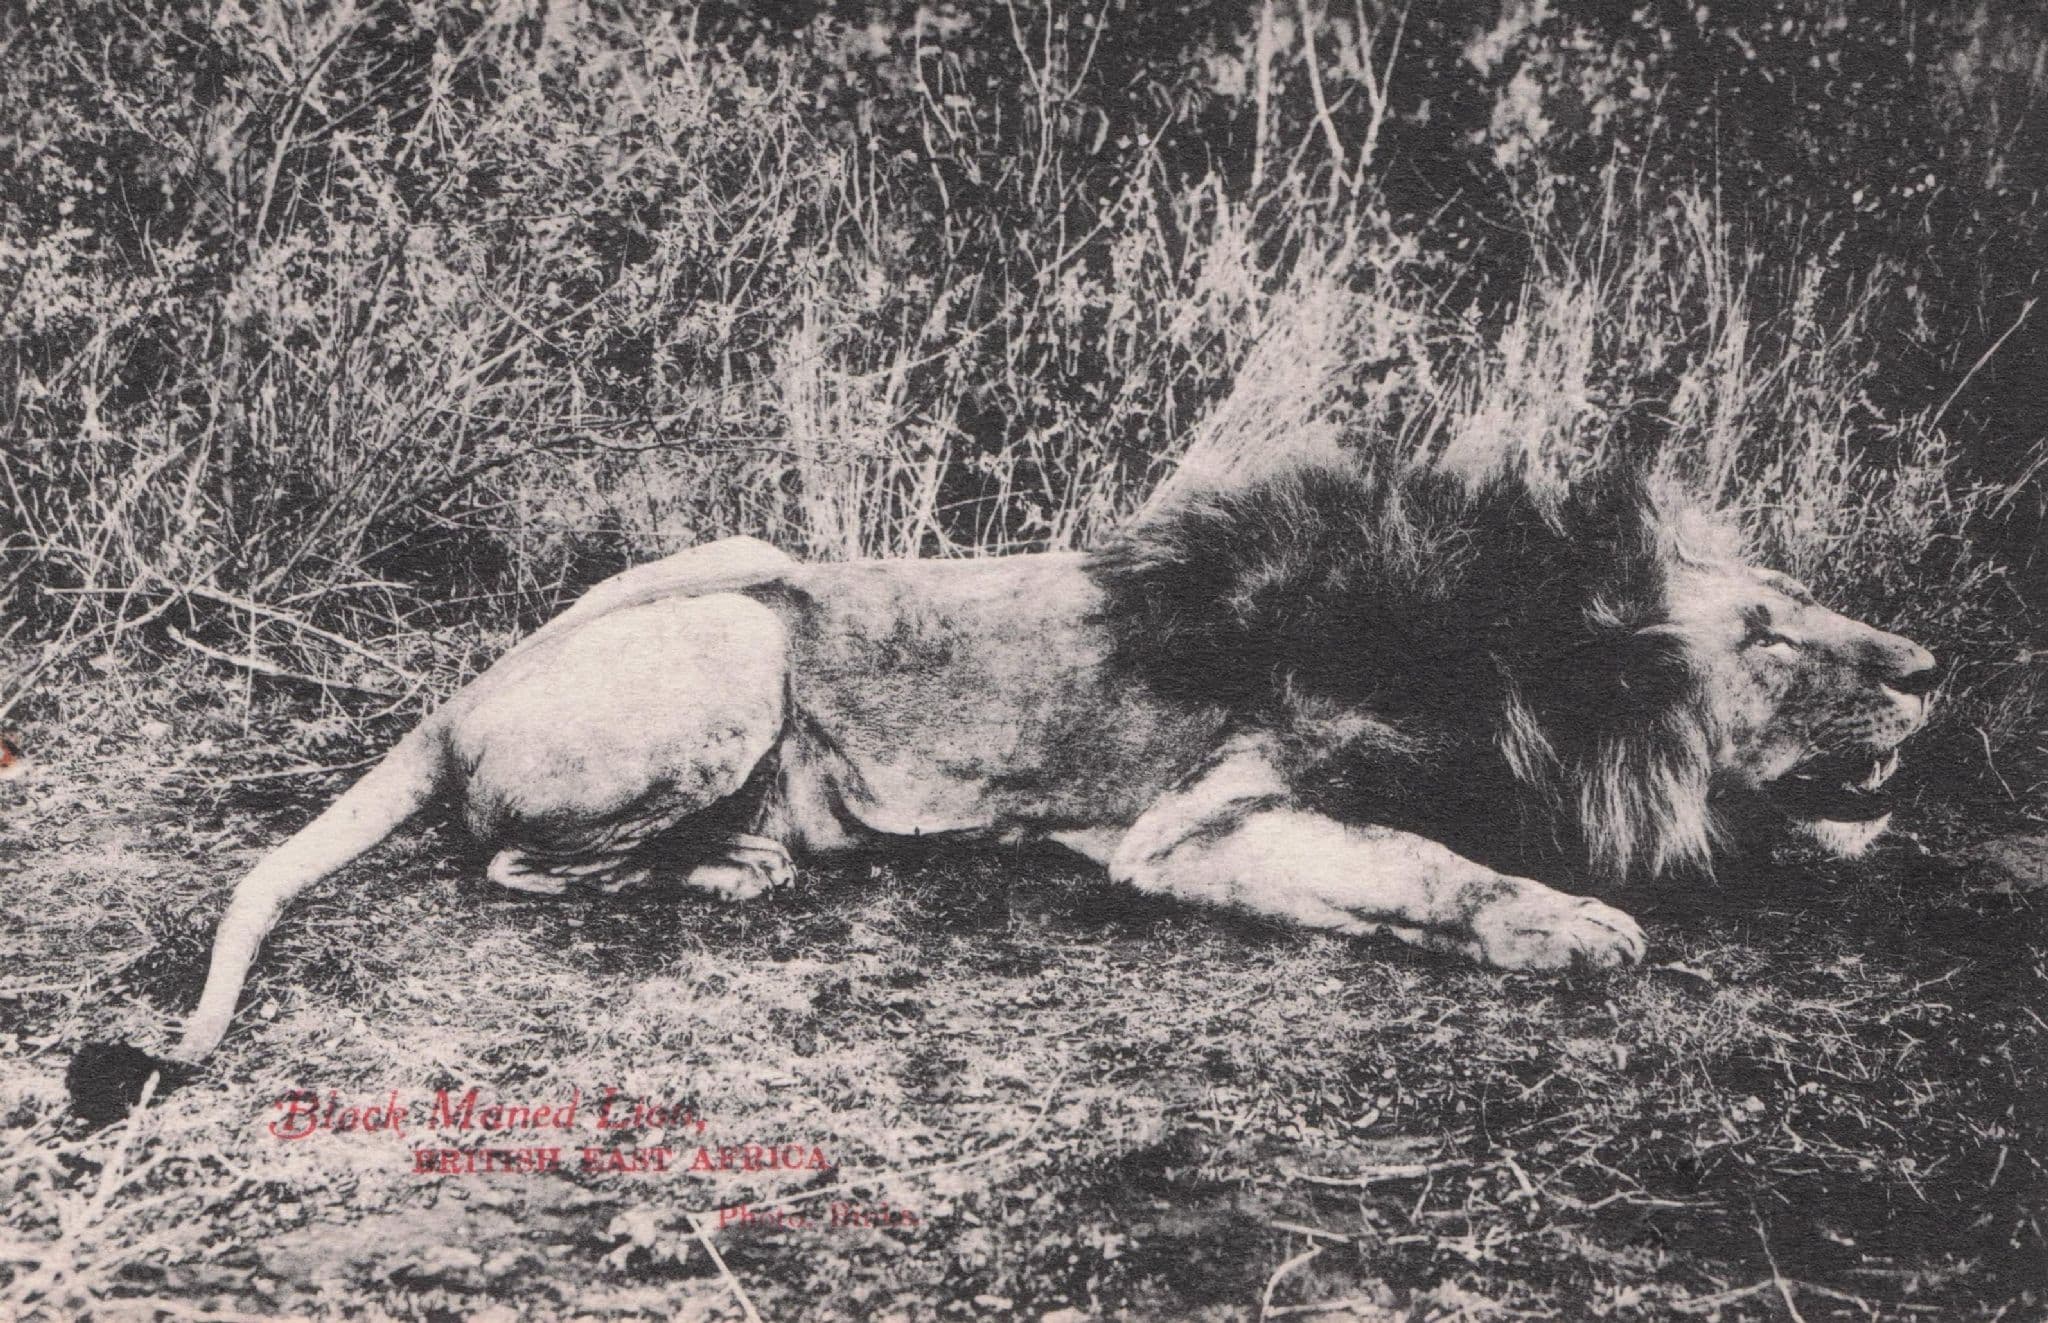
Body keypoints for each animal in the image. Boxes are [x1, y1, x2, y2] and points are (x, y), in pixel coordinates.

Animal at [68, 456, 1938, 1121]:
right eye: (1772, 629)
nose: (1927, 664)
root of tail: (459, 689)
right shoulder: (1197, 819)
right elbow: (1420, 858)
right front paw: (1568, 926)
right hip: (732, 630)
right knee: (503, 857)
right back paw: (726, 871)